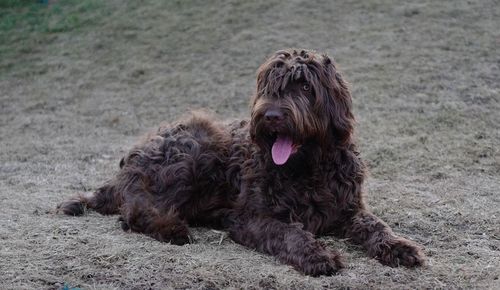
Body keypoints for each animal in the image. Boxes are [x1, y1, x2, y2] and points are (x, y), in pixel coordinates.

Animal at [58, 48, 426, 276]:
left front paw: (399, 246)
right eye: (268, 87)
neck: (307, 168)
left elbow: (375, 225)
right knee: (133, 212)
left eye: (305, 86)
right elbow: (288, 232)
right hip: (195, 148)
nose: (271, 115)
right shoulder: (249, 218)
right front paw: (317, 255)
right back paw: (172, 228)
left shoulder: (348, 208)